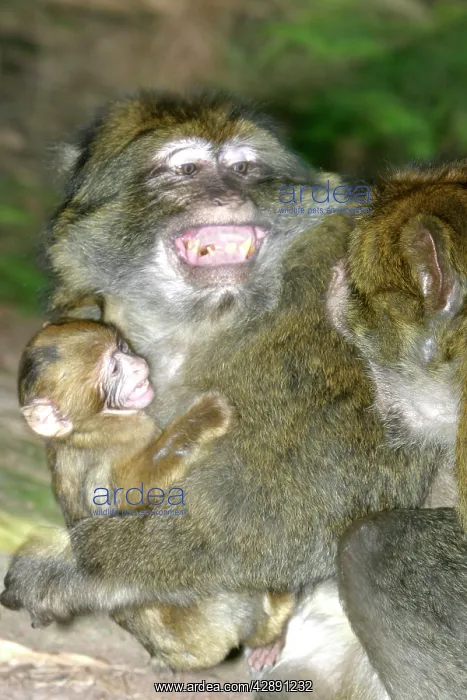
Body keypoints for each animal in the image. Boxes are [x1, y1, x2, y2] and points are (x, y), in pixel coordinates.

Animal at [18, 318, 296, 670]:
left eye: (122, 347)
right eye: (113, 369)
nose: (137, 363)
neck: (90, 429)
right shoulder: (111, 450)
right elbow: (134, 492)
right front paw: (205, 416)